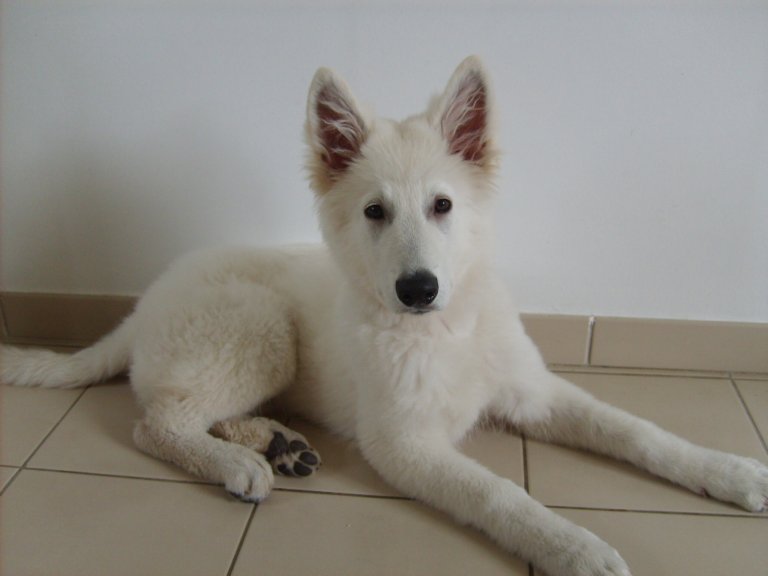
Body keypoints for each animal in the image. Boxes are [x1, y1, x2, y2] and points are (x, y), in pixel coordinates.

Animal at [2, 56, 767, 576]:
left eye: (442, 205)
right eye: (375, 212)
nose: (418, 289)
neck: (445, 331)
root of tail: (146, 300)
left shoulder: (535, 393)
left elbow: (638, 432)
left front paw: (727, 471)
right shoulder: (405, 446)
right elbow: (501, 496)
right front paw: (575, 546)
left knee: (189, 410)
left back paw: (275, 441)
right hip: (261, 329)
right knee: (155, 422)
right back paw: (238, 462)